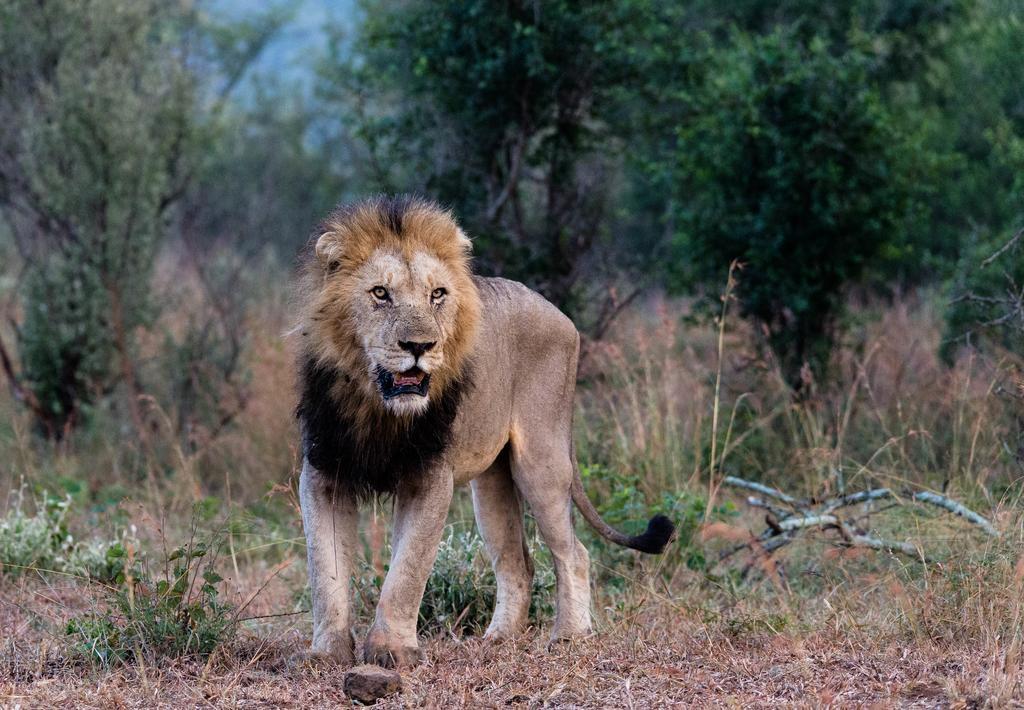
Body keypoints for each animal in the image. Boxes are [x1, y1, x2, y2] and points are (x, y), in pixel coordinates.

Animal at [292, 196, 675, 667]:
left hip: (541, 460)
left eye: (437, 294)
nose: (419, 346)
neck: (379, 409)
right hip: (492, 482)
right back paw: (500, 639)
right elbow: (324, 572)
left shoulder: (429, 476)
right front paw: (326, 654)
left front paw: (391, 650)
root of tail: (560, 315)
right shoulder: (324, 471)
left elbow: (407, 572)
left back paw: (569, 637)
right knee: (517, 561)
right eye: (380, 293)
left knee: (575, 552)